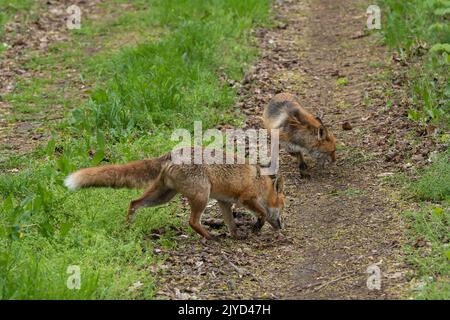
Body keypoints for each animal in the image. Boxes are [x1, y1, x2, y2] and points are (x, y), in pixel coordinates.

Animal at [64, 149, 284, 239]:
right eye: (283, 207)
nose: (283, 226)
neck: (260, 182)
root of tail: (172, 152)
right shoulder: (246, 198)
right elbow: (262, 213)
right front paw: (256, 227)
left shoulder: (224, 202)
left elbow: (231, 224)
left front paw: (238, 236)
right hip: (201, 196)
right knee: (193, 222)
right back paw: (211, 237)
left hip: (163, 196)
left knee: (133, 202)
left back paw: (128, 227)